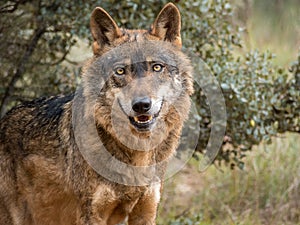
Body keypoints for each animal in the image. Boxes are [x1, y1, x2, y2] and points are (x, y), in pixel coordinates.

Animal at [0, 2, 195, 225]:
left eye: (156, 67)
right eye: (120, 71)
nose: (141, 105)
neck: (137, 155)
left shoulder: (146, 211)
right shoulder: (92, 214)